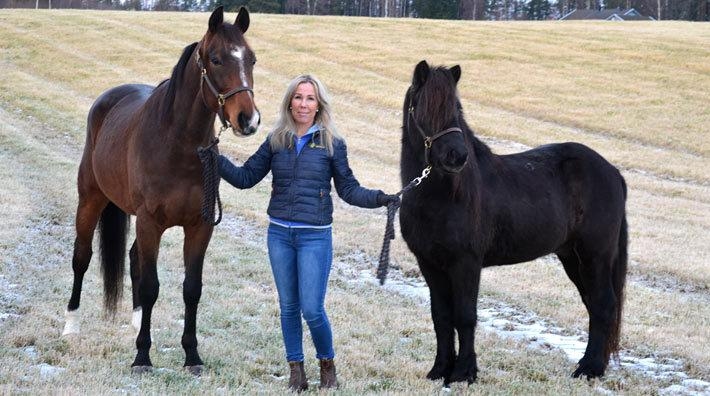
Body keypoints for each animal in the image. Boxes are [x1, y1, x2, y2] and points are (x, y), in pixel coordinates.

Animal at [62, 6, 260, 374]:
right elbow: (151, 286)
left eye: (251, 59)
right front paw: (142, 356)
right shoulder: (150, 223)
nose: (248, 120)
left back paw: (138, 322)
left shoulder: (199, 227)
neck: (178, 145)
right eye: (216, 59)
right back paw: (70, 325)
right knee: (82, 258)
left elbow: (191, 289)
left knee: (133, 258)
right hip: (91, 200)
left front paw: (192, 356)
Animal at [400, 60, 628, 386]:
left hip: (595, 256)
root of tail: (612, 171)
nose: (457, 156)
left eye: (456, 107)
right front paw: (440, 370)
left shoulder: (466, 262)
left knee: (604, 305)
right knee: (594, 305)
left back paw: (588, 369)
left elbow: (464, 316)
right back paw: (590, 367)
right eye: (424, 107)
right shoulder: (429, 263)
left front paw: (464, 373)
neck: (442, 195)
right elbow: (441, 317)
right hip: (572, 258)